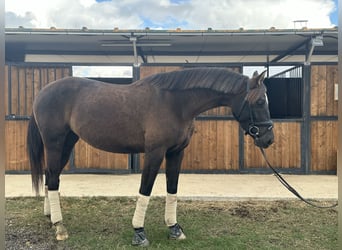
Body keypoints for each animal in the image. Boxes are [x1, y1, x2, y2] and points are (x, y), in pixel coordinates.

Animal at [26, 67, 274, 247]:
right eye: (260, 101)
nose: (269, 139)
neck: (175, 103)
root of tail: (41, 93)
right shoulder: (155, 152)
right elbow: (145, 189)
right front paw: (139, 232)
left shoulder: (176, 152)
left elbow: (172, 189)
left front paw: (174, 229)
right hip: (55, 143)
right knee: (53, 179)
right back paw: (60, 227)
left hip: (68, 142)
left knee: (51, 176)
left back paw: (50, 217)